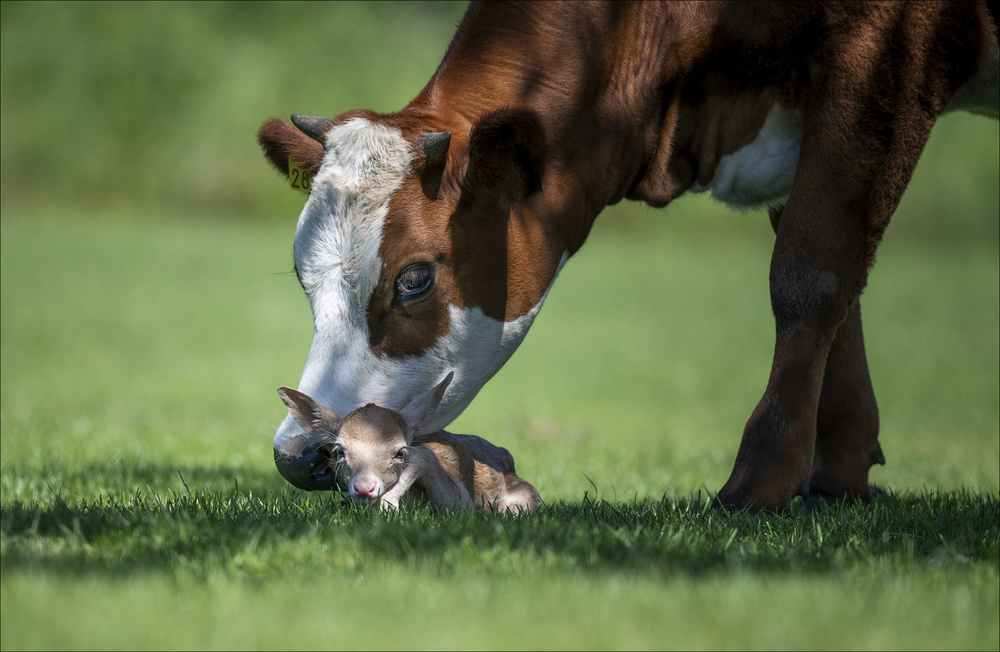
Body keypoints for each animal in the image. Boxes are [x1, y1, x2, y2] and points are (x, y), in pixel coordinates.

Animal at [260, 0, 1000, 512]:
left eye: (414, 278)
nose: (300, 454)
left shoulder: (883, 58)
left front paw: (762, 481)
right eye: (302, 277)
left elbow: (812, 272)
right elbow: (842, 294)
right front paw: (839, 476)